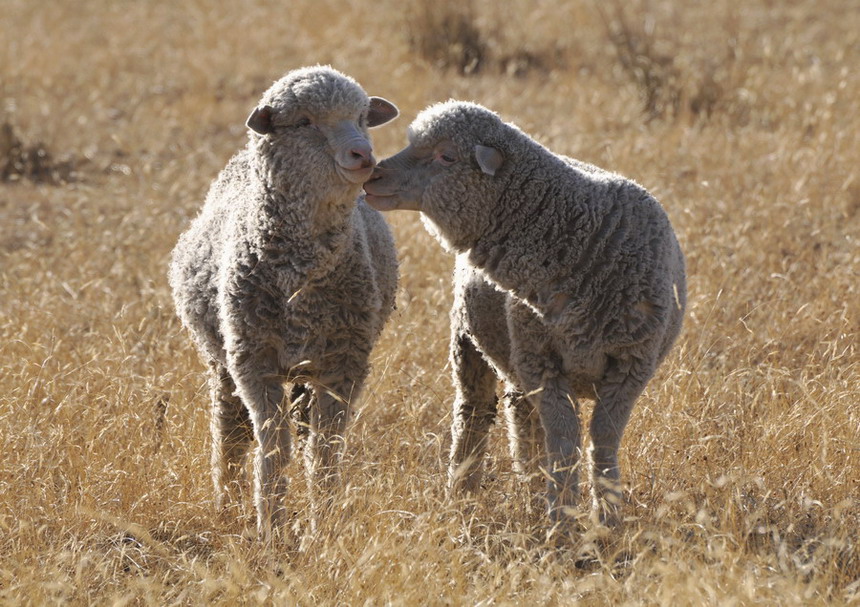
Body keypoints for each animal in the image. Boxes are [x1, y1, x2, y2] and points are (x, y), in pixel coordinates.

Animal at [170, 66, 402, 540]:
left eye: (362, 117)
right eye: (305, 122)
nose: (363, 155)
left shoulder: (344, 365)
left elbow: (325, 451)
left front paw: (322, 524)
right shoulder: (253, 362)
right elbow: (273, 448)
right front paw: (270, 528)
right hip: (222, 360)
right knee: (229, 431)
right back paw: (227, 501)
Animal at [362, 100, 684, 532]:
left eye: (447, 156)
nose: (373, 176)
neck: (582, 241)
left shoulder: (631, 366)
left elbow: (602, 439)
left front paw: (607, 520)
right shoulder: (542, 364)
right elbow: (564, 440)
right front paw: (562, 521)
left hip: (517, 360)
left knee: (522, 420)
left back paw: (529, 487)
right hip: (471, 344)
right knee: (474, 415)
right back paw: (464, 493)